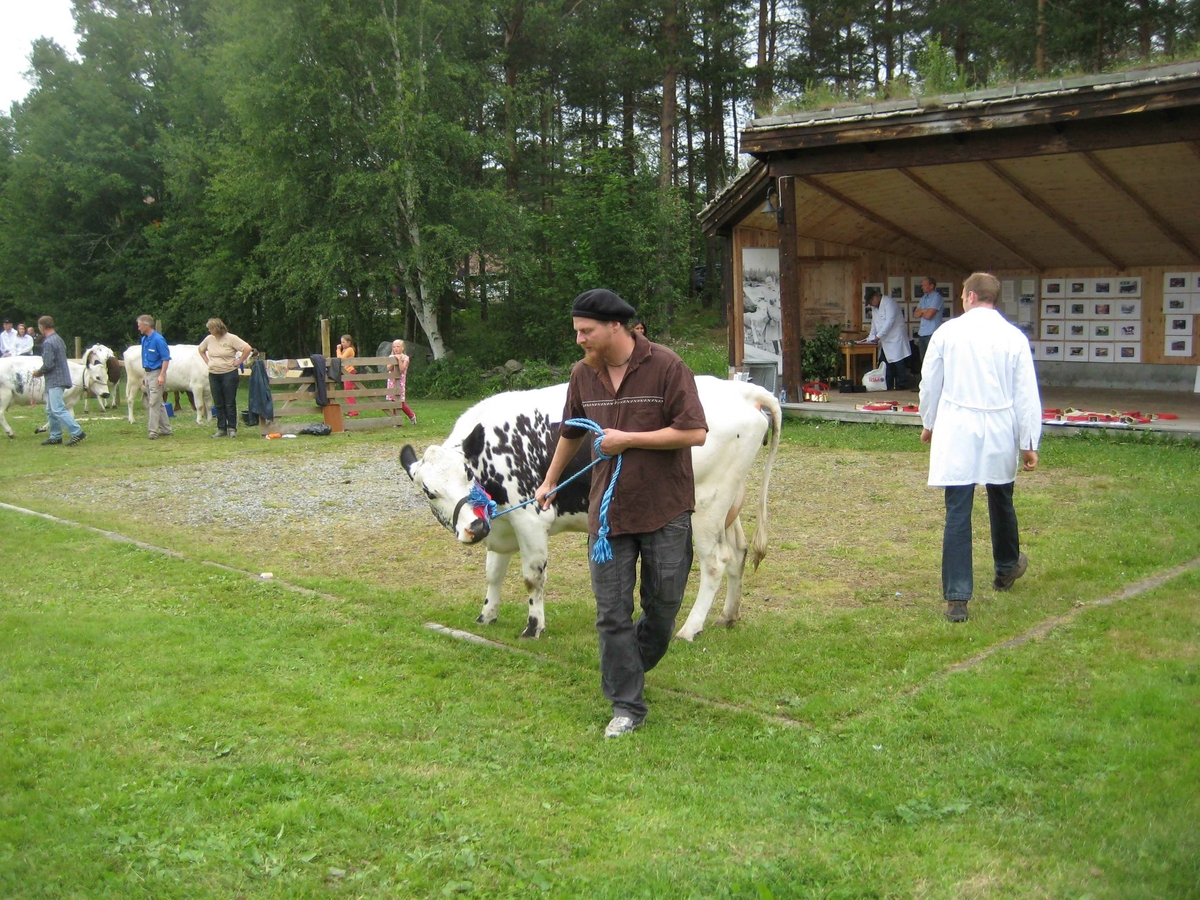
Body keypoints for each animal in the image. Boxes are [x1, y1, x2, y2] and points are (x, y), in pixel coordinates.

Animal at [398, 374, 782, 643]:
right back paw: (728, 616)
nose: (474, 529)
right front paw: (487, 616)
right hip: (730, 503)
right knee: (738, 552)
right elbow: (493, 573)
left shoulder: (531, 518)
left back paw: (690, 628)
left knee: (716, 563)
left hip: (706, 506)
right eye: (429, 492)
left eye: (467, 474)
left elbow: (532, 578)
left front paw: (533, 628)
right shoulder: (501, 524)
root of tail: (740, 391)